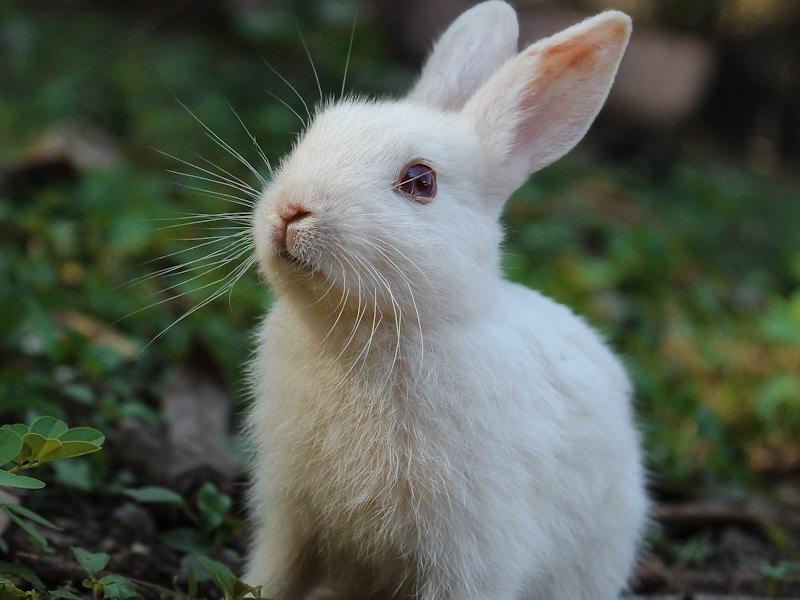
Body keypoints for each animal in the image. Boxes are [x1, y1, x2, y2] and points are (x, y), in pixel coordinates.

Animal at [245, 2, 648, 599]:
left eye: (420, 180)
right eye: (313, 134)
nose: (291, 211)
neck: (373, 327)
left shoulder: (472, 553)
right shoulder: (290, 520)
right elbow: (269, 577)